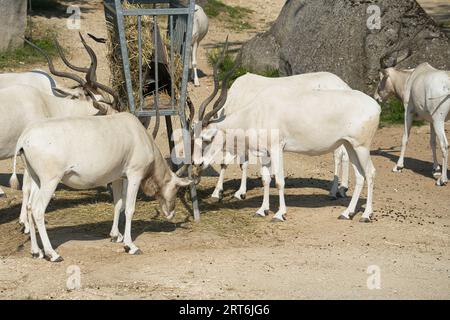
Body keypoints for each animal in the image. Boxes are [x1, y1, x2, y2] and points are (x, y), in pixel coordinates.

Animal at [11, 111, 192, 262]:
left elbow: (118, 205)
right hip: (50, 180)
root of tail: (25, 137)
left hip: (37, 179)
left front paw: (115, 236)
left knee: (29, 207)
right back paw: (53, 254)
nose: (171, 213)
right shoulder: (134, 174)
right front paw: (131, 246)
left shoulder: (118, 177)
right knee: (38, 210)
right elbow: (129, 208)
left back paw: (36, 252)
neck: (138, 133)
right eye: (176, 188)